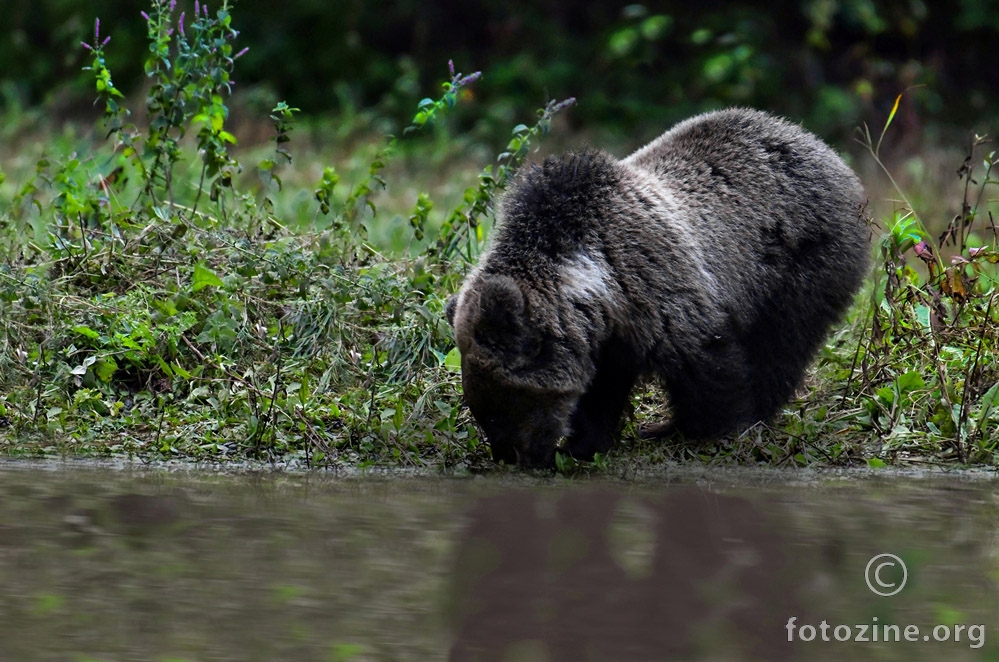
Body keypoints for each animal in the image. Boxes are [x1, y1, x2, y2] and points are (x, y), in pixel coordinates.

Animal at [446, 109, 868, 470]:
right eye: (481, 406)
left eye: (504, 402)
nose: (510, 455)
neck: (594, 280)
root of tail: (826, 151)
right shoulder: (610, 335)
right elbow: (602, 390)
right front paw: (584, 442)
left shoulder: (661, 290)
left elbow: (709, 366)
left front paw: (710, 430)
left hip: (802, 262)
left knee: (780, 345)